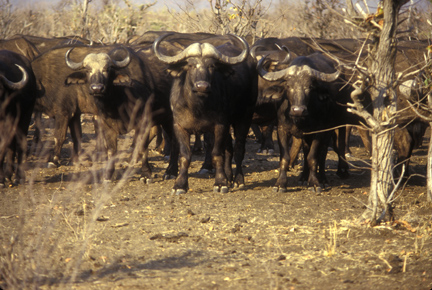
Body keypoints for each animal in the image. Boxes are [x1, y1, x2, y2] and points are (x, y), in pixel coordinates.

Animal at [154, 32, 258, 194]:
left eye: (211, 66)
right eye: (190, 65)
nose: (202, 86)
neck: (197, 107)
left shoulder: (220, 126)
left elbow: (216, 154)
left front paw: (220, 183)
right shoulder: (179, 126)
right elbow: (185, 156)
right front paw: (180, 185)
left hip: (245, 116)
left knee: (239, 148)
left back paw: (238, 180)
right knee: (229, 149)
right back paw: (229, 176)